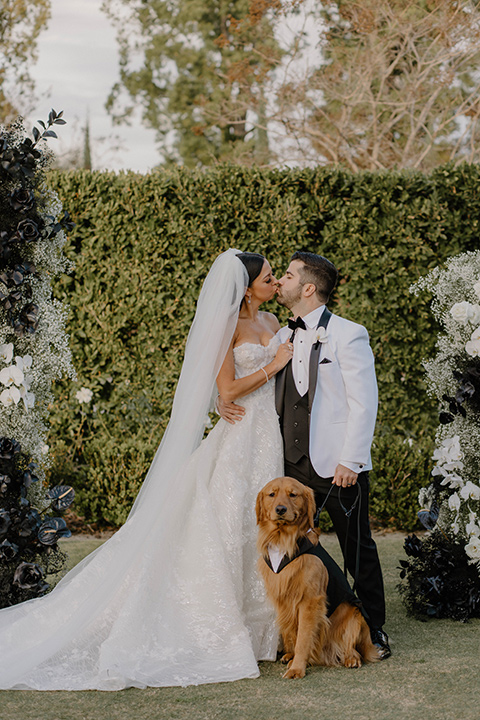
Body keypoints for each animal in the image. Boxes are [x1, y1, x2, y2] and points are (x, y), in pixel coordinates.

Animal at [255, 478, 378, 676]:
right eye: (271, 494)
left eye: (293, 494)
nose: (280, 509)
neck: (283, 541)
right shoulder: (283, 598)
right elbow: (291, 632)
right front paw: (292, 655)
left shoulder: (309, 601)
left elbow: (304, 638)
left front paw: (297, 668)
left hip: (354, 615)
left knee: (352, 647)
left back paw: (351, 658)